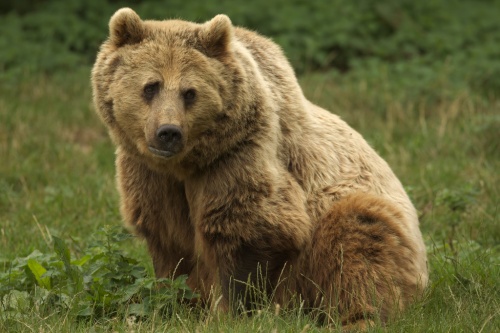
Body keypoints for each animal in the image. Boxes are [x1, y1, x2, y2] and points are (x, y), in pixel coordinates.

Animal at [90, 7, 426, 326]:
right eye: (151, 86)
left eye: (190, 92)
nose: (168, 132)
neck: (186, 165)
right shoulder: (150, 175)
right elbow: (169, 243)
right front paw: (175, 305)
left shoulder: (237, 157)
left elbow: (248, 230)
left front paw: (227, 313)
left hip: (362, 217)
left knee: (358, 249)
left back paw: (358, 317)